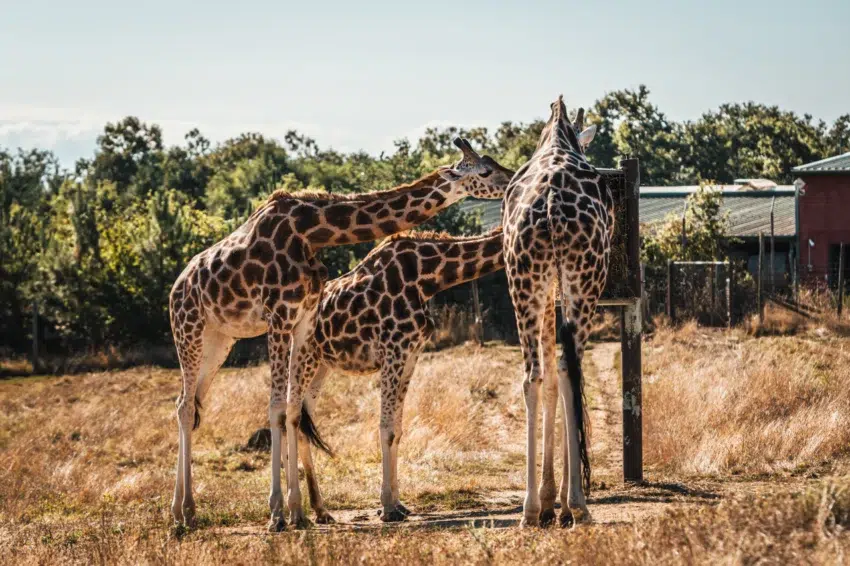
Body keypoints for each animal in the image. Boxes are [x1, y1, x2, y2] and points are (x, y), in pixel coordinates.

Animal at [281, 226, 507, 524]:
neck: (427, 277)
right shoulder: (393, 349)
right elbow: (386, 429)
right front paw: (387, 507)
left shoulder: (411, 353)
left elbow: (398, 430)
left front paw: (399, 503)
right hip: (299, 356)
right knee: (291, 414)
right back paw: (295, 513)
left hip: (322, 364)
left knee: (305, 414)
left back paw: (321, 509)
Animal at [501, 95, 610, 528]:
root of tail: (549, 204)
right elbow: (565, 377)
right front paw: (560, 501)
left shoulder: (547, 288)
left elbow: (545, 381)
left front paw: (547, 500)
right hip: (586, 277)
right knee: (567, 367)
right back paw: (577, 505)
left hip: (522, 278)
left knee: (533, 374)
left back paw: (529, 509)